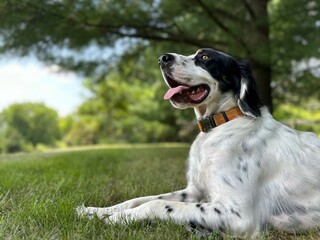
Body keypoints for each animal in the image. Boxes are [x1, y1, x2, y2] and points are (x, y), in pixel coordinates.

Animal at [77, 48, 320, 238]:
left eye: (204, 57)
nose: (163, 58)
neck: (218, 126)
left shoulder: (238, 214)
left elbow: (156, 204)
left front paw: (114, 218)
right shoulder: (195, 191)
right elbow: (140, 199)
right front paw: (95, 211)